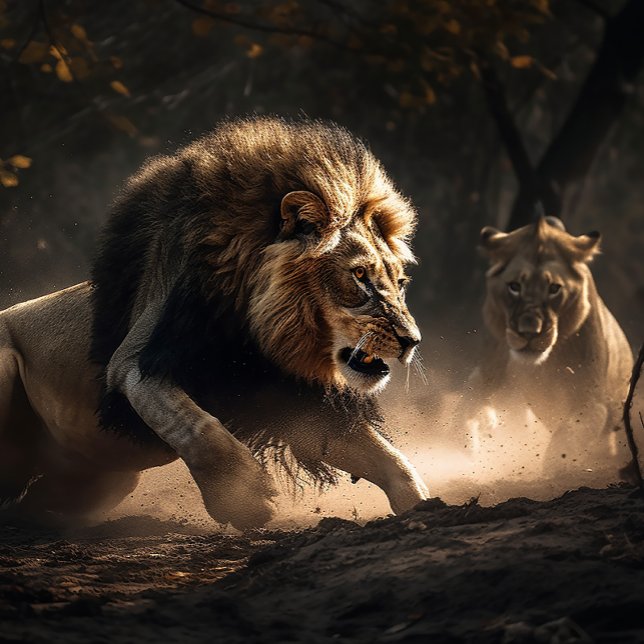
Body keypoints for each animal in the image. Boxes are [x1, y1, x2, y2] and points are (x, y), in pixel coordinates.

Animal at [0, 117, 429, 529]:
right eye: (359, 276)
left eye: (400, 283)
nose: (412, 341)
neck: (259, 330)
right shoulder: (132, 364)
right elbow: (193, 425)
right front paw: (244, 497)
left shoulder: (291, 396)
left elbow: (390, 460)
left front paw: (426, 507)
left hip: (108, 480)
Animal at [462, 215, 633, 475]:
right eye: (514, 286)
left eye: (554, 288)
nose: (529, 332)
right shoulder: (487, 373)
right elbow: (464, 406)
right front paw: (464, 446)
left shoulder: (592, 401)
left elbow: (567, 437)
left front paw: (556, 467)